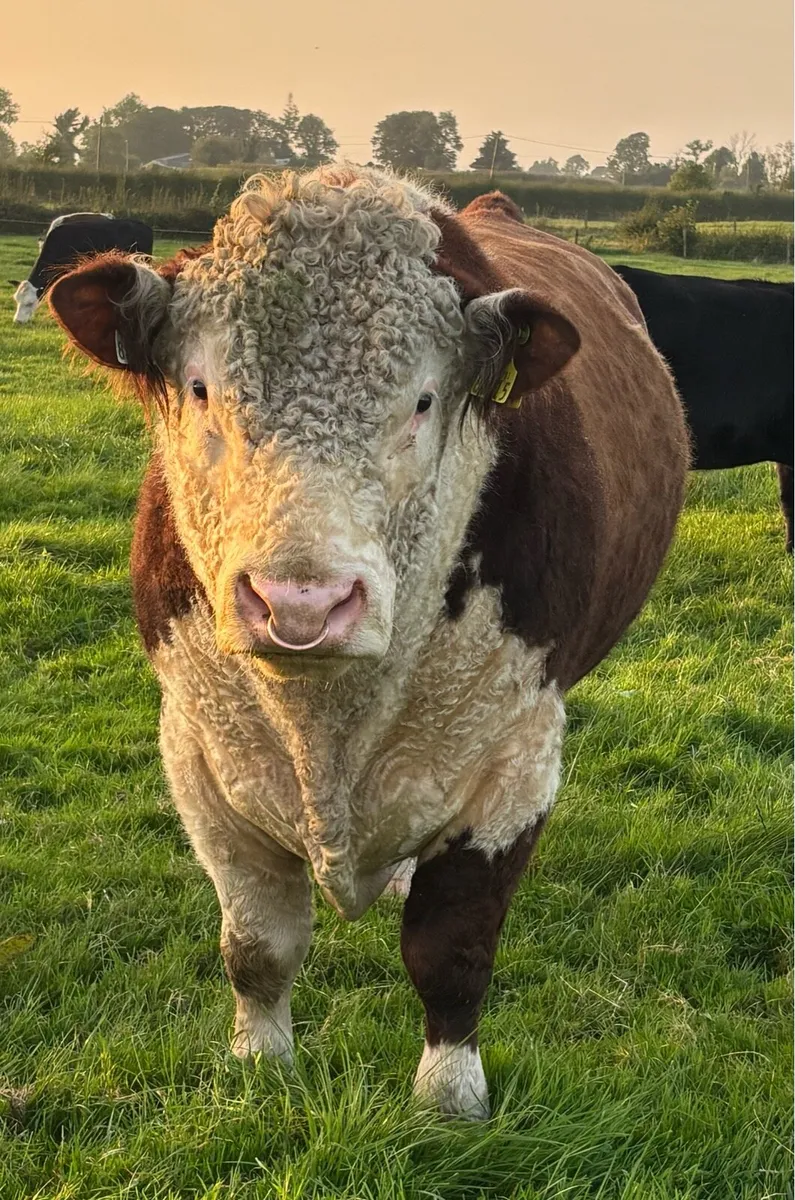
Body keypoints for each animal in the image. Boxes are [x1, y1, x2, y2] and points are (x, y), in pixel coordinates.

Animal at [47, 170, 688, 1120]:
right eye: (200, 388)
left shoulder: (517, 760)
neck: (324, 731)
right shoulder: (200, 755)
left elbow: (450, 947)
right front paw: (259, 1062)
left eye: (422, 401)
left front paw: (449, 1096)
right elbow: (257, 941)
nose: (300, 602)